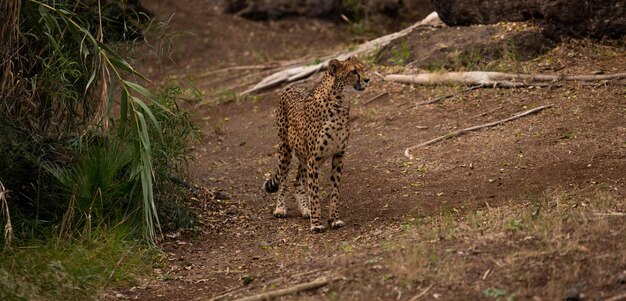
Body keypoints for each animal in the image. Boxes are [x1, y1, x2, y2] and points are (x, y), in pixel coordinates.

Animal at [262, 56, 368, 231]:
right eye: (354, 71)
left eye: (363, 69)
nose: (367, 79)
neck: (340, 103)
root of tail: (292, 87)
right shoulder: (315, 157)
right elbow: (315, 192)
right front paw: (317, 223)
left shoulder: (338, 155)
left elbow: (335, 191)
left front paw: (333, 219)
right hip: (285, 149)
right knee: (283, 181)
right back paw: (280, 209)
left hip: (303, 156)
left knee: (297, 182)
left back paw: (305, 210)